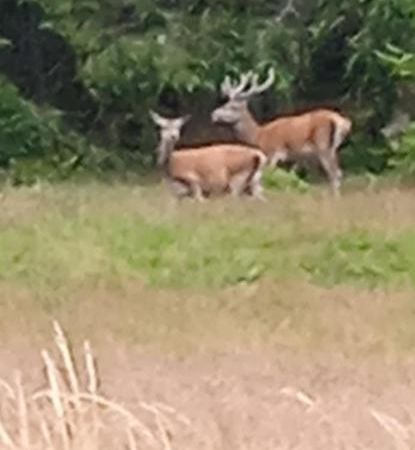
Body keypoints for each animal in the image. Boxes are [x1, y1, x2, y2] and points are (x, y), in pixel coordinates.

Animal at [213, 68, 352, 195]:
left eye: (233, 107)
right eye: (224, 103)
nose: (213, 114)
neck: (258, 136)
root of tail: (342, 121)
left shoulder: (272, 153)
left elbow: (268, 178)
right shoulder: (295, 158)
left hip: (323, 145)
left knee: (335, 174)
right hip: (332, 148)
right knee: (337, 173)